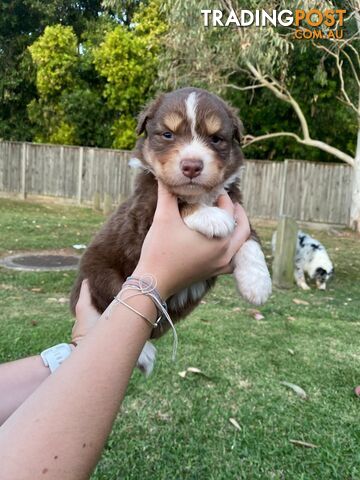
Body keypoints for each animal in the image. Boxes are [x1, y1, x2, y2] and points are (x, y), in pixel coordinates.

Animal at [70, 89, 272, 376]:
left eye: (216, 138)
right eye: (168, 134)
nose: (192, 166)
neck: (202, 195)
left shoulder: (236, 204)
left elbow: (249, 238)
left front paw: (257, 284)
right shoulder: (144, 217)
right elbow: (182, 203)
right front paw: (212, 217)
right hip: (100, 276)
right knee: (105, 308)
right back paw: (143, 353)